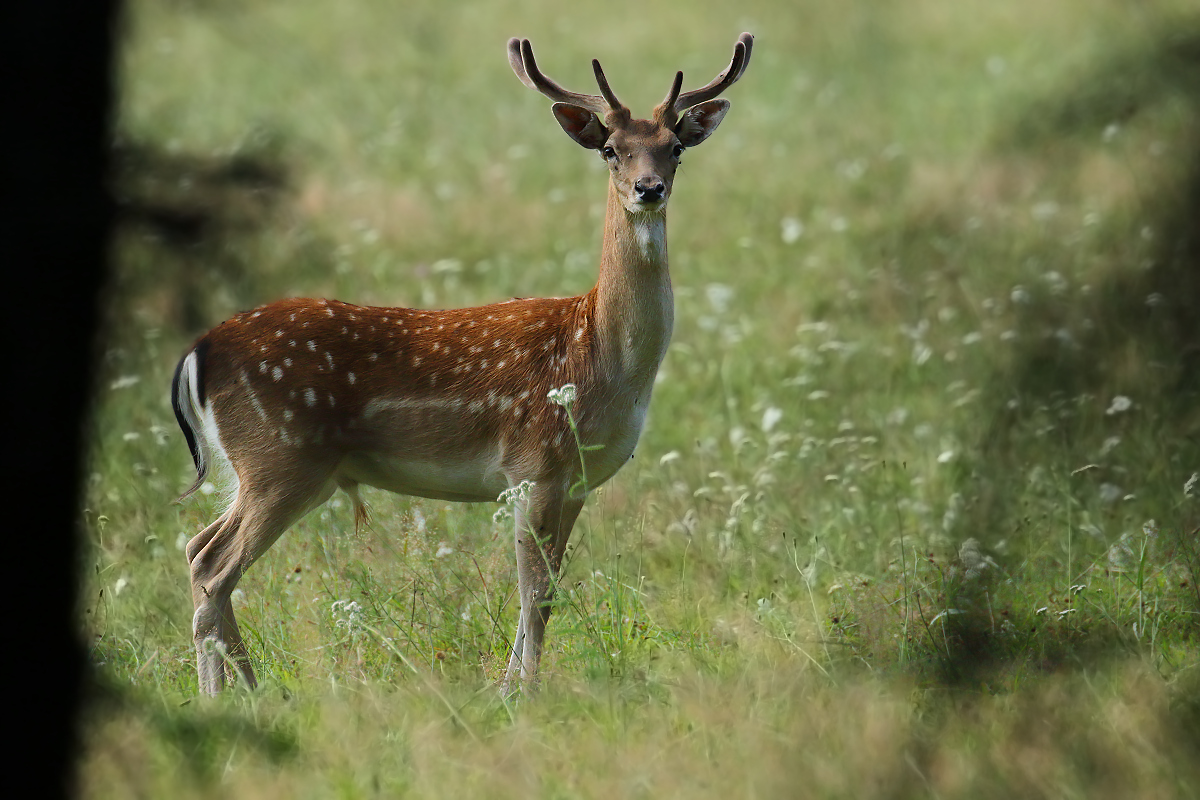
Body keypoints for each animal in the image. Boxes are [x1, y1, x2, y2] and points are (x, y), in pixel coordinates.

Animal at [171, 32, 748, 695]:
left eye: (675, 148)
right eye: (610, 150)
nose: (648, 189)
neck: (604, 360)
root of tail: (197, 354)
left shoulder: (575, 481)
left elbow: (545, 590)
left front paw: (507, 687)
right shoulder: (534, 464)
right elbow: (534, 593)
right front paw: (522, 693)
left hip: (258, 469)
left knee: (196, 547)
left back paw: (243, 689)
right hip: (280, 457)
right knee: (214, 567)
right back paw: (233, 694)